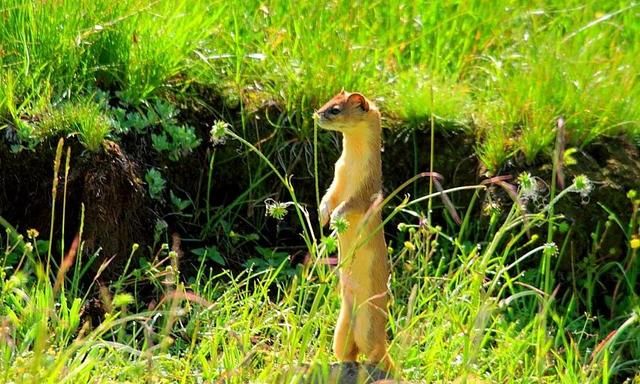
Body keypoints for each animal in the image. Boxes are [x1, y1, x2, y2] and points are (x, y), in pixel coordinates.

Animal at [312, 91, 392, 372]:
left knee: (375, 353)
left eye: (334, 110)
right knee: (347, 350)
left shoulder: (365, 191)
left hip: (369, 326)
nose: (316, 113)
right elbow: (329, 196)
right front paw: (323, 214)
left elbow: (350, 205)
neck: (351, 166)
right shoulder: (337, 177)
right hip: (341, 326)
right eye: (326, 102)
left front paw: (336, 218)